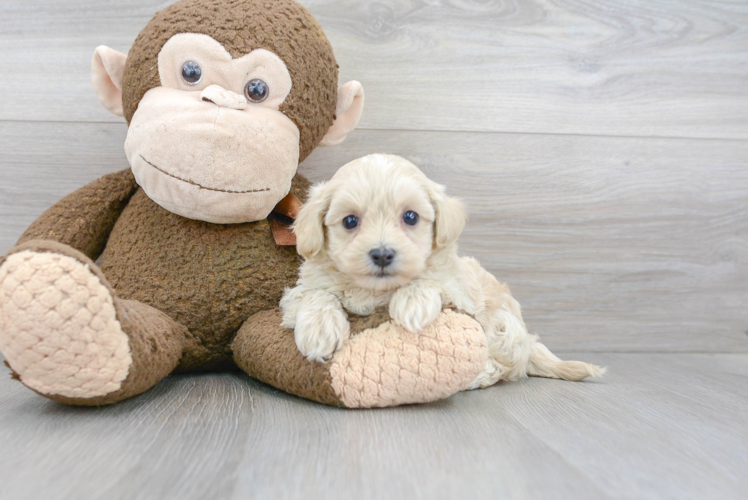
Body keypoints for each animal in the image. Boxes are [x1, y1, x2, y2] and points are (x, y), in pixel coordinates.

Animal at [284, 152, 604, 386]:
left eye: (410, 217)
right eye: (350, 221)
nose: (383, 254)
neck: (376, 290)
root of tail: (529, 341)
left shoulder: (460, 294)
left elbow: (433, 281)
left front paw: (412, 303)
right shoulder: (299, 291)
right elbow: (315, 294)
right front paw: (320, 329)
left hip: (505, 327)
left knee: (506, 367)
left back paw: (478, 375)